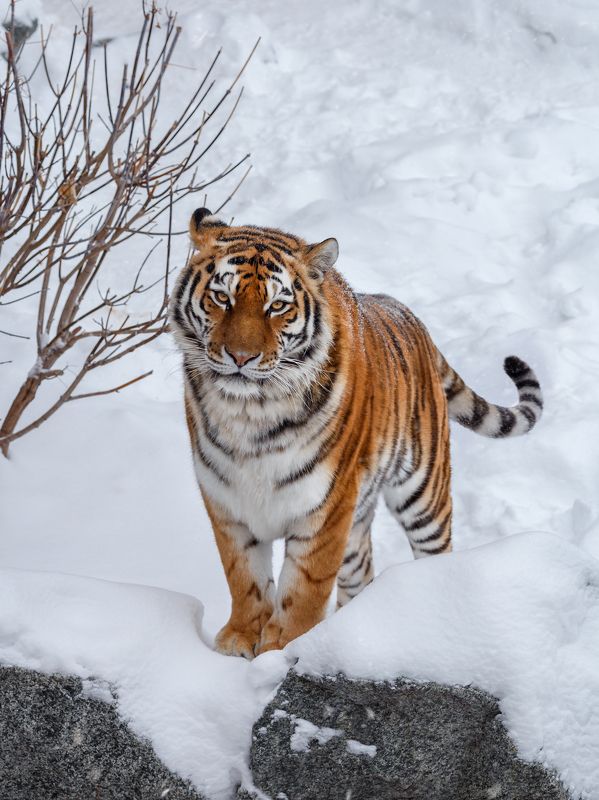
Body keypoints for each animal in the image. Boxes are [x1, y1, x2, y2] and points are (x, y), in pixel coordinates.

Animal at [168, 207, 543, 659]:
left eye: (277, 306)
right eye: (222, 298)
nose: (241, 357)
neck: (249, 412)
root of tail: (406, 313)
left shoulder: (326, 507)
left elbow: (304, 589)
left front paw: (283, 647)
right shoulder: (226, 500)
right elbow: (244, 576)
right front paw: (240, 639)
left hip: (424, 497)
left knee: (434, 553)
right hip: (359, 525)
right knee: (360, 573)